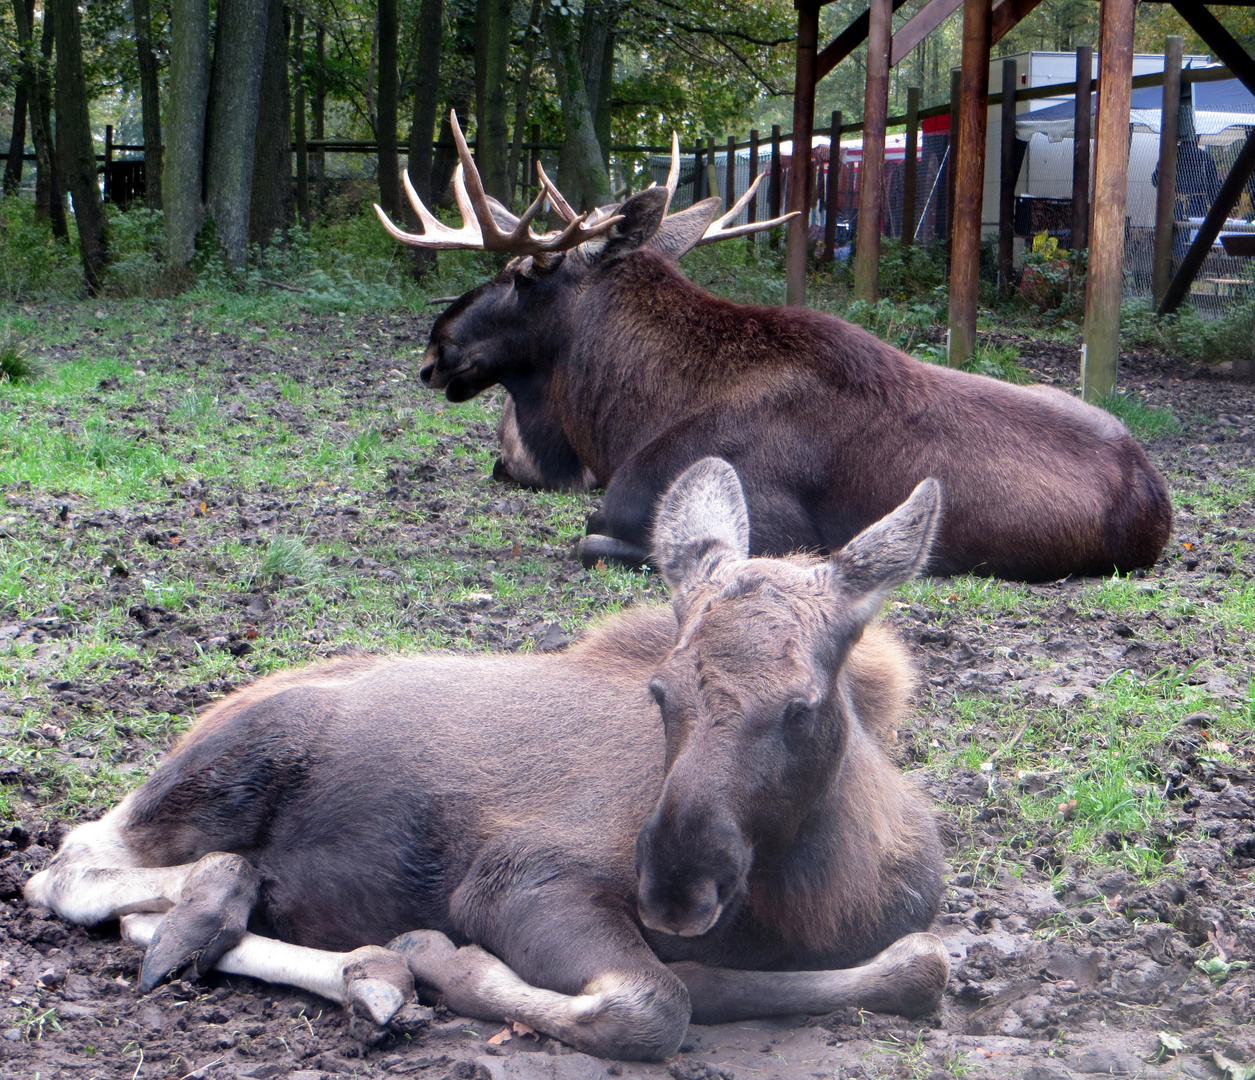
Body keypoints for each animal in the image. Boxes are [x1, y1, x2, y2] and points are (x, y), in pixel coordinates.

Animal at [24, 459, 948, 1058]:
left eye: (801, 705)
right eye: (660, 691)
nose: (675, 885)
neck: (819, 890)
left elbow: (918, 966)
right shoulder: (513, 878)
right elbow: (653, 1003)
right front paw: (445, 959)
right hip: (228, 768)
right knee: (71, 864)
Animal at [384, 112, 1174, 582]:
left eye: (522, 273)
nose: (434, 350)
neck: (623, 419)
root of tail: (1157, 499)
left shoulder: (760, 525)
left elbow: (596, 538)